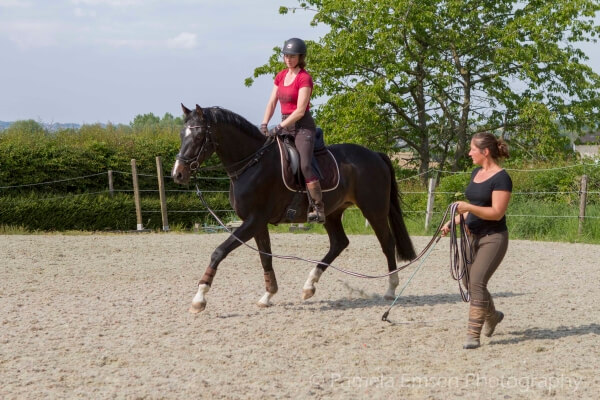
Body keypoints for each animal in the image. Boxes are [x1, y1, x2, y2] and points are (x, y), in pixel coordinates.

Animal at [171, 103, 414, 312]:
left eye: (199, 136)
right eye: (182, 135)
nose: (178, 174)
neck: (252, 163)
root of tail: (375, 155)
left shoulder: (253, 220)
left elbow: (219, 251)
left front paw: (199, 298)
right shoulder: (258, 223)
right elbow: (266, 257)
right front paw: (268, 295)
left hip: (373, 209)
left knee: (387, 243)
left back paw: (390, 289)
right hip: (332, 213)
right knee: (339, 243)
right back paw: (309, 286)